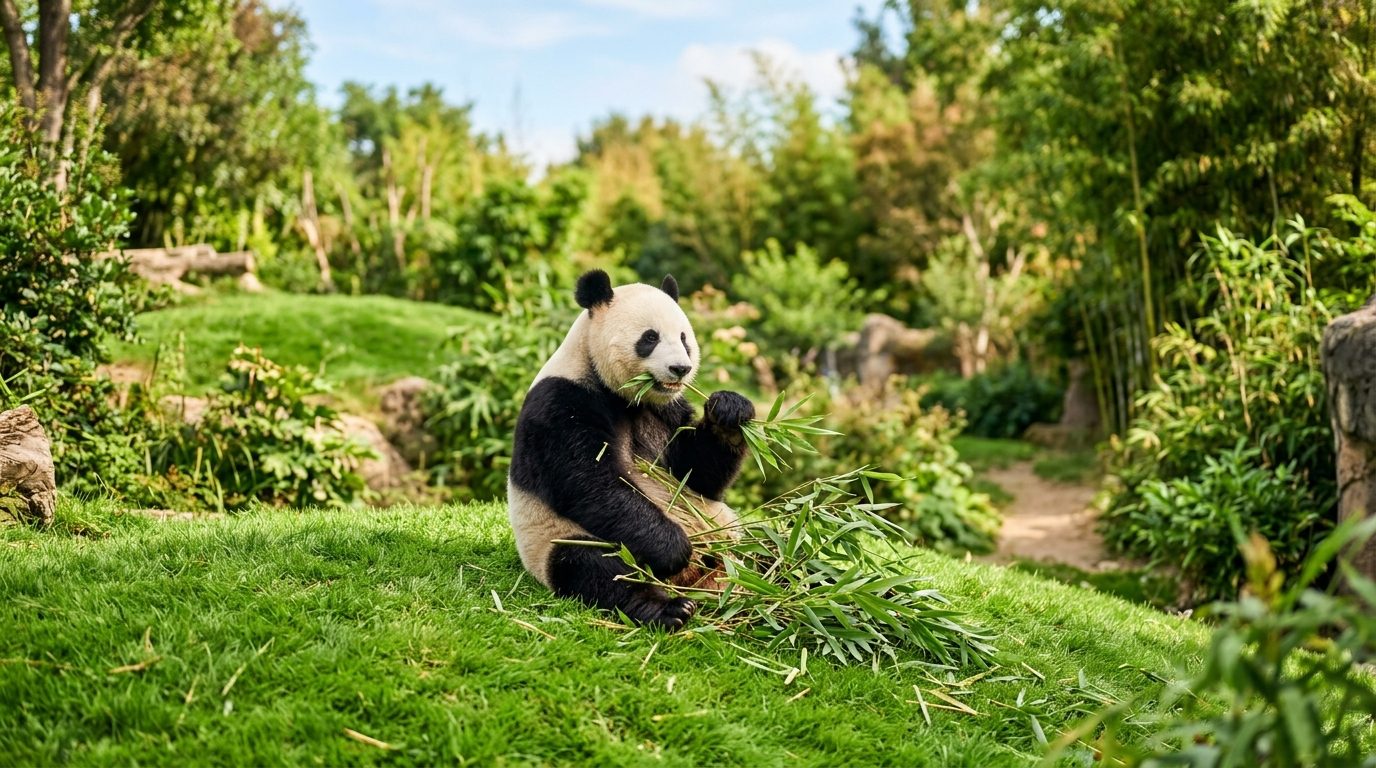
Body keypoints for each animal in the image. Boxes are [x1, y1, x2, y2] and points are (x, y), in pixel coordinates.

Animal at [507, 269, 755, 629]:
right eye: (650, 338)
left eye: (684, 338)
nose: (680, 368)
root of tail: (694, 581)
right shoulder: (561, 402)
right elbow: (589, 483)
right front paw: (673, 548)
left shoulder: (667, 409)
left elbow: (695, 474)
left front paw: (729, 411)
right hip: (557, 539)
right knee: (598, 569)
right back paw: (670, 608)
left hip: (732, 537)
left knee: (766, 548)